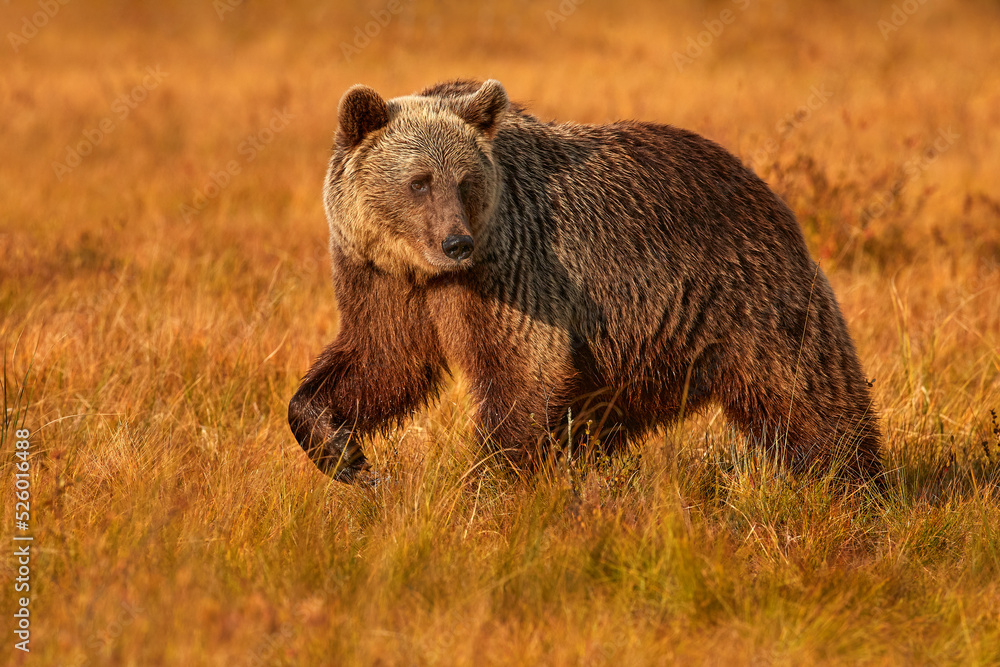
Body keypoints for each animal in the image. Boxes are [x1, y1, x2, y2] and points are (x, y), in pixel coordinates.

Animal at [290, 78, 884, 486]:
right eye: (419, 182)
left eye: (465, 181)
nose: (456, 242)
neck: (424, 270)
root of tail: (764, 186)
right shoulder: (381, 281)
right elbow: (381, 362)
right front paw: (347, 456)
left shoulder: (512, 273)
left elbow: (521, 373)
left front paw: (485, 482)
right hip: (638, 353)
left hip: (748, 300)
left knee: (808, 400)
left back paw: (856, 484)